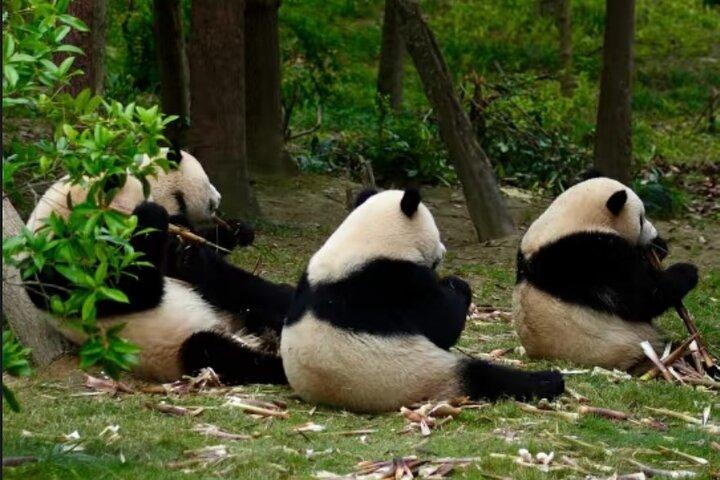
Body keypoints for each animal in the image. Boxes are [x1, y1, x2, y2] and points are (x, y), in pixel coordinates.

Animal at [280, 188, 565, 413]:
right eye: (437, 233)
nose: (444, 252)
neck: (362, 242)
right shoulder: (394, 283)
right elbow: (441, 323)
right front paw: (455, 285)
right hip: (420, 374)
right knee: (484, 377)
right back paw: (549, 380)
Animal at [513, 176, 699, 372]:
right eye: (641, 219)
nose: (654, 234)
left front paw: (659, 246)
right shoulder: (589, 257)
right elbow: (642, 297)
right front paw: (687, 271)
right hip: (627, 348)